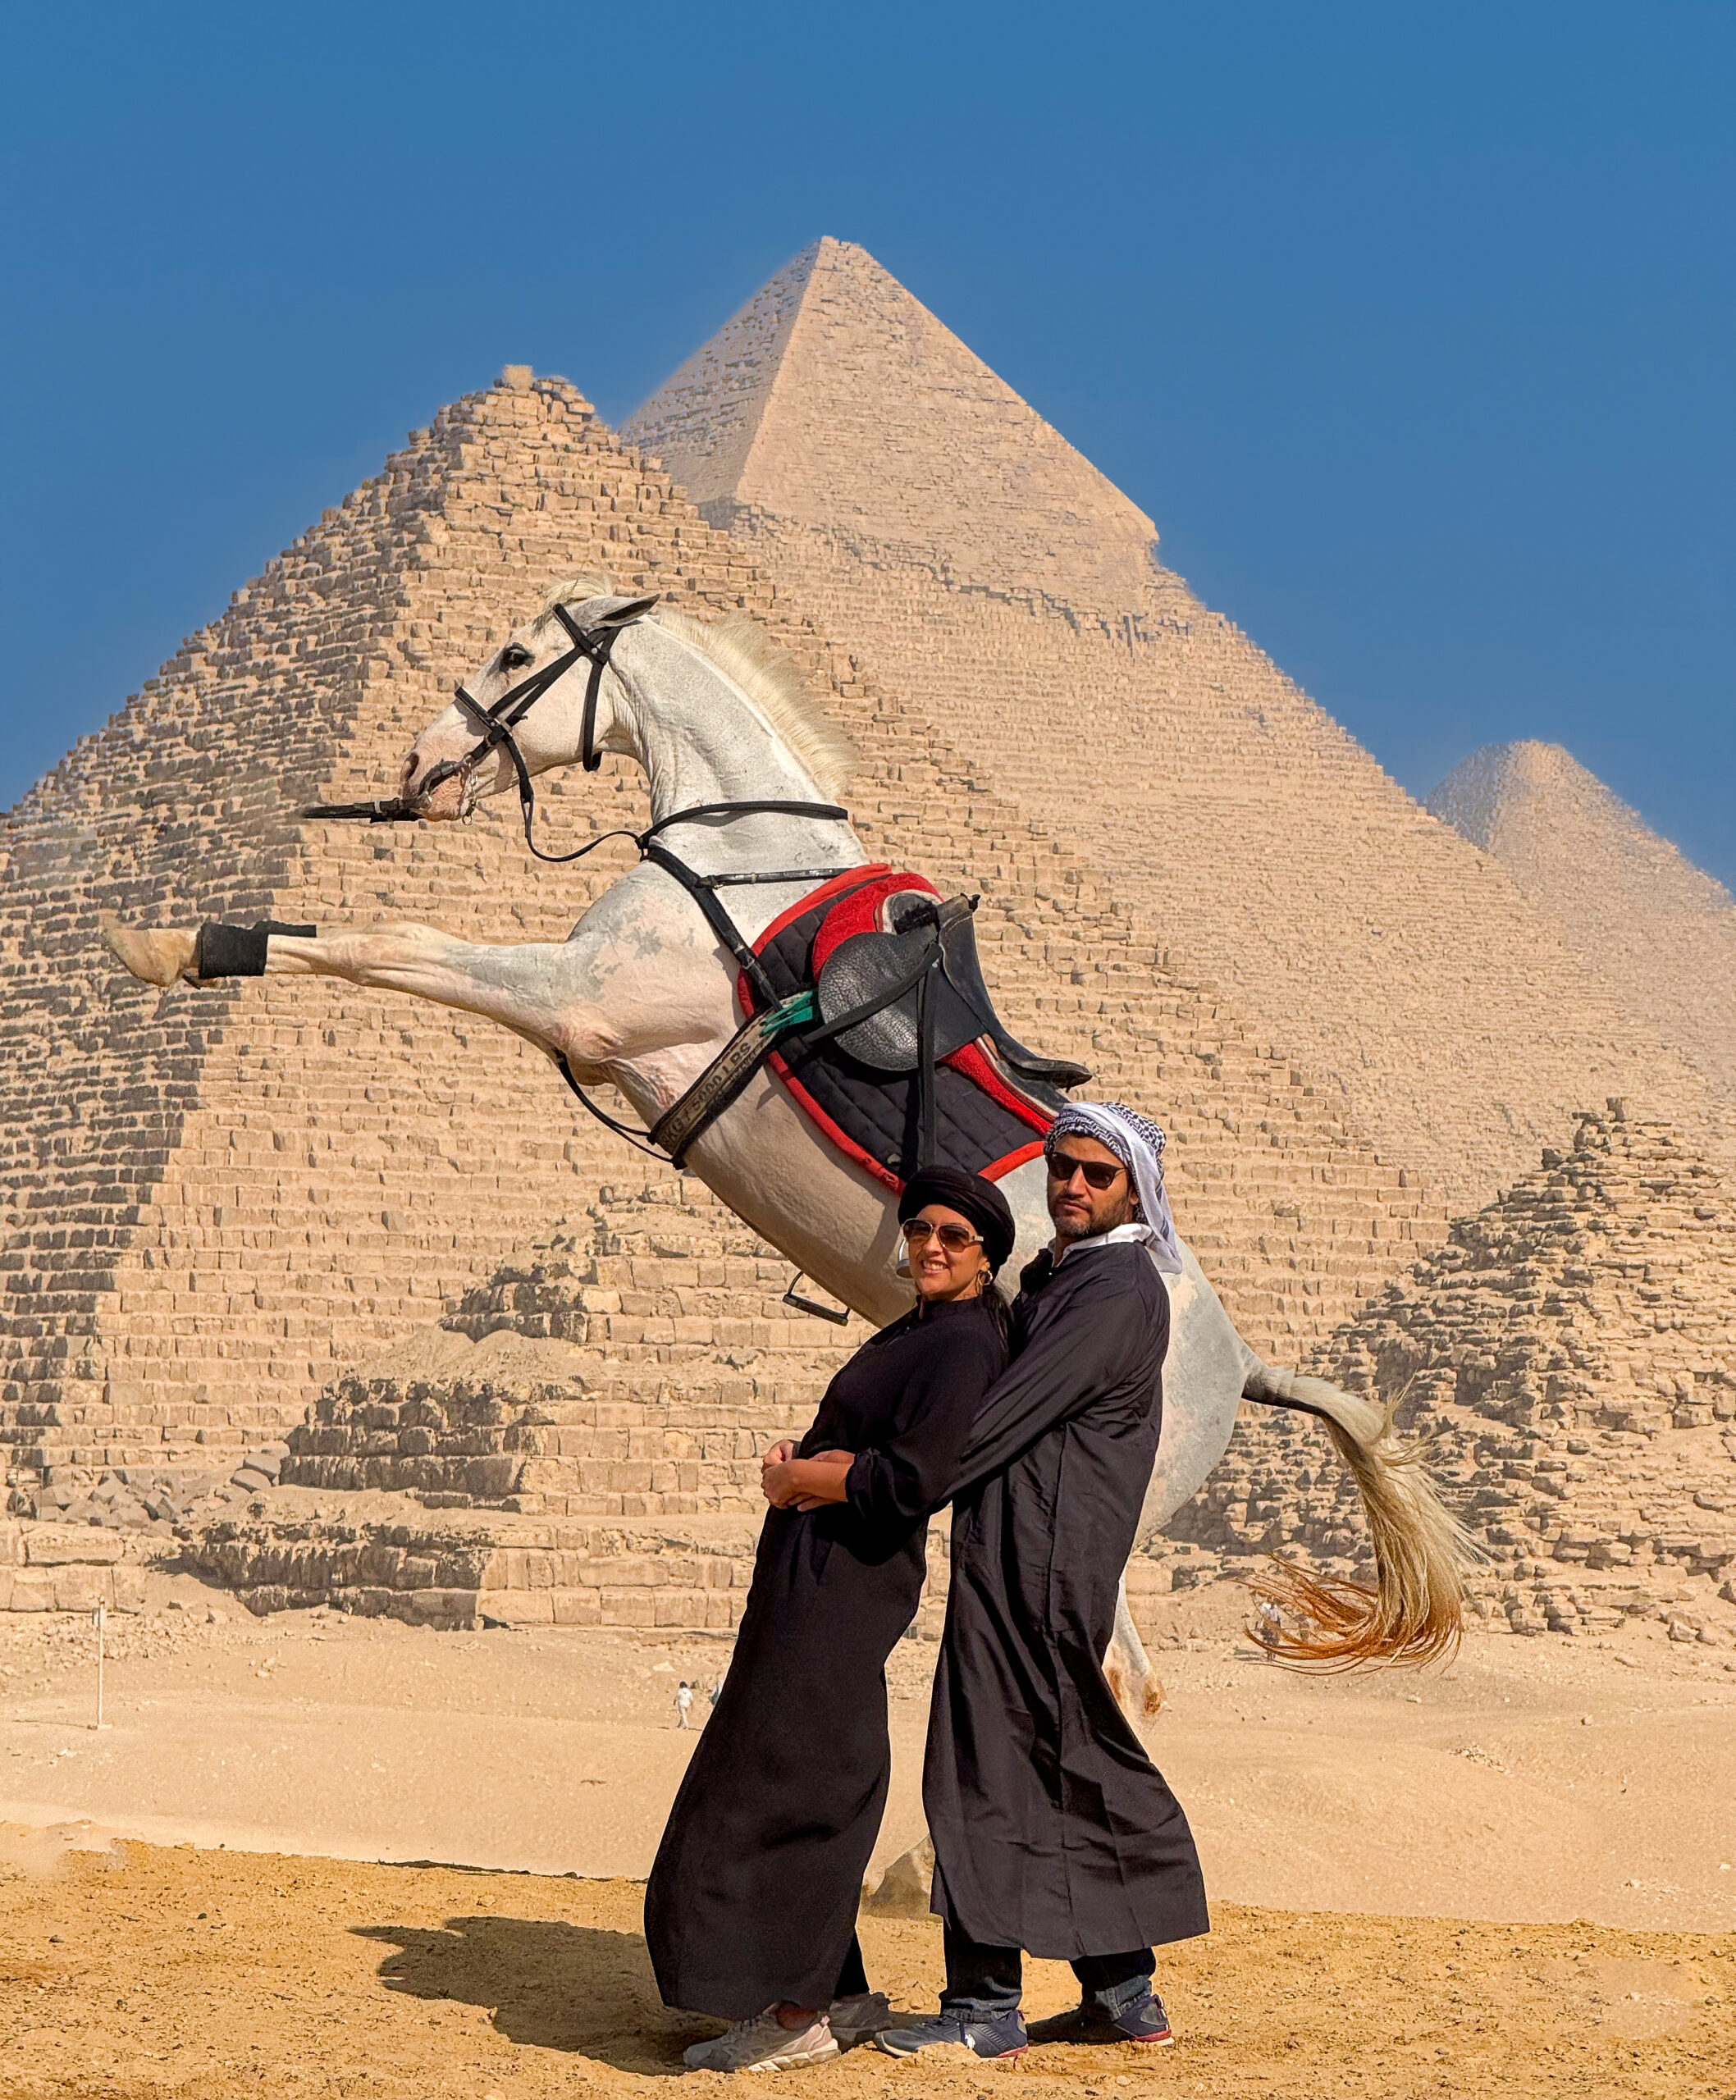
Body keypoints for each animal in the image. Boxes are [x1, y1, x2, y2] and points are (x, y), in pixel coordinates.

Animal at [105, 579, 1469, 1688]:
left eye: (511, 653)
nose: (421, 762)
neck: (746, 853)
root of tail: (1243, 1370)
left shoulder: (585, 1003)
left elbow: (392, 943)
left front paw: (169, 942)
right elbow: (387, 941)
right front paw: (166, 937)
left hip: (1096, 1512)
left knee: (1117, 1679)